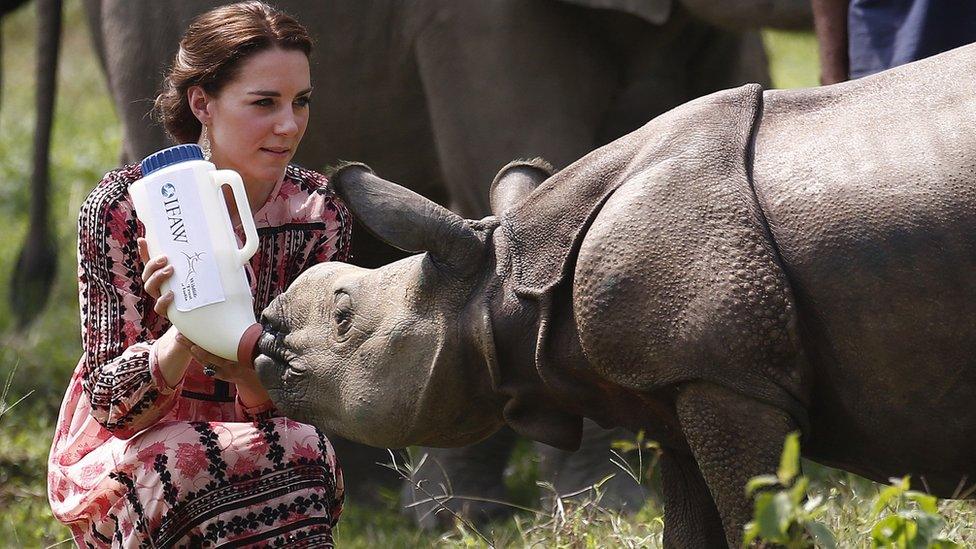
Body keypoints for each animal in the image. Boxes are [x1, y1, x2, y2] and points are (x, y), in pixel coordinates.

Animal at [254, 42, 976, 544]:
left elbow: (760, 515)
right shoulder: (679, 381)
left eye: (343, 315)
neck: (506, 283)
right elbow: (690, 529)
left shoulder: (730, 377)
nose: (265, 332)